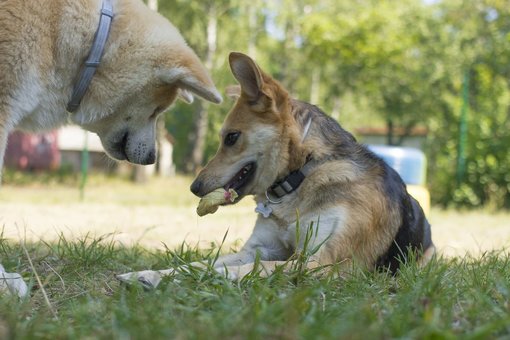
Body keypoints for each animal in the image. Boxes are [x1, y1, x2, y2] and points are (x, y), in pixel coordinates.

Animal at [118, 51, 434, 288]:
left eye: (231, 137)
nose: (194, 188)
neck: (300, 175)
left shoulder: (318, 262)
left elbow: (234, 270)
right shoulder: (258, 249)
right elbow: (199, 262)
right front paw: (149, 273)